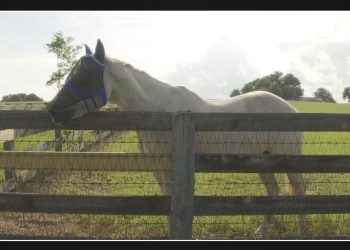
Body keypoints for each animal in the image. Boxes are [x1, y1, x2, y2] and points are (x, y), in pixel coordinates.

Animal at [45, 39, 306, 236]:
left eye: (84, 76)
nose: (53, 110)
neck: (158, 110)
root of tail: (292, 109)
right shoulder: (157, 164)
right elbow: (165, 196)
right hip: (262, 160)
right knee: (273, 191)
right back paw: (262, 230)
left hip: (287, 159)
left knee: (299, 191)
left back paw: (301, 231)